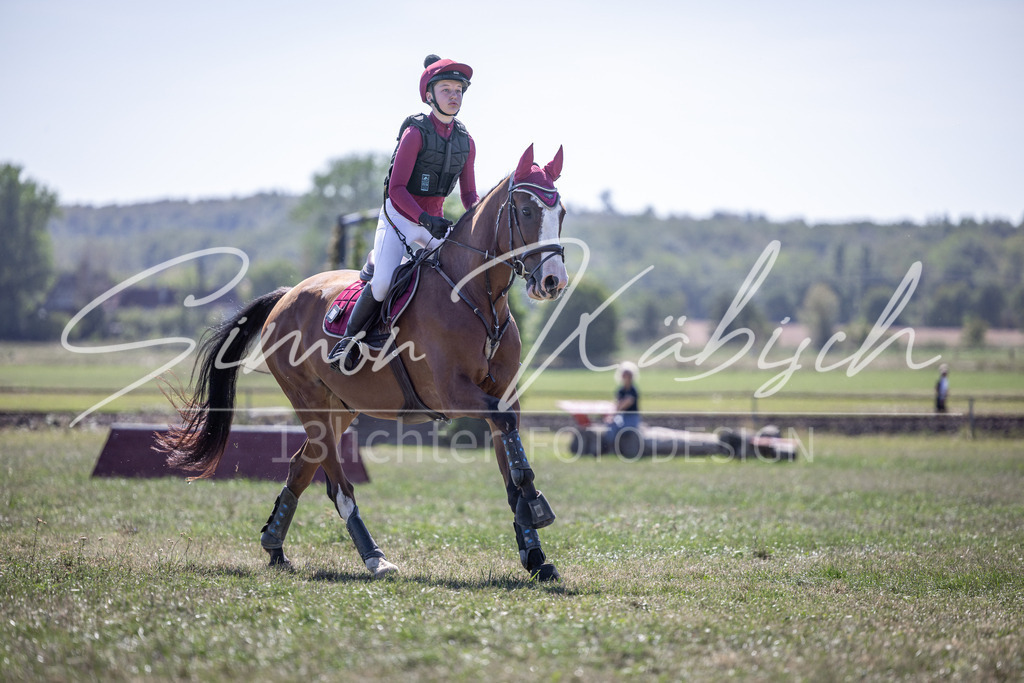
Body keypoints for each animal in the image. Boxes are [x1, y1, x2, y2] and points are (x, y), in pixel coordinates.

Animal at [158, 144, 569, 581]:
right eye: (525, 211)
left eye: (560, 212)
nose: (553, 282)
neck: (476, 298)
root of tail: (287, 295)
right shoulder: (453, 394)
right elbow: (508, 436)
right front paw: (536, 505)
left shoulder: (502, 394)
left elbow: (510, 459)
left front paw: (535, 552)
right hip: (310, 401)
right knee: (338, 486)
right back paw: (374, 557)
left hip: (341, 407)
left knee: (300, 468)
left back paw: (275, 547)